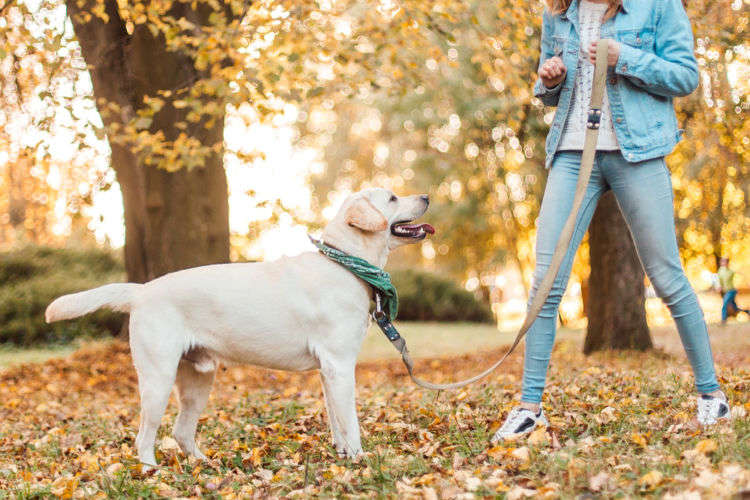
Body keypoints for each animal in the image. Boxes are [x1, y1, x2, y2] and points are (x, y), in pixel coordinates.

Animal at [45, 188, 434, 464]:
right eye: (392, 197)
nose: (427, 197)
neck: (345, 263)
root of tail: (142, 290)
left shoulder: (329, 372)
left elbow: (336, 421)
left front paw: (341, 456)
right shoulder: (340, 366)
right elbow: (350, 422)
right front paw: (359, 460)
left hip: (198, 380)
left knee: (181, 431)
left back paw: (204, 465)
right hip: (157, 379)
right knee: (144, 437)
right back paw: (152, 473)